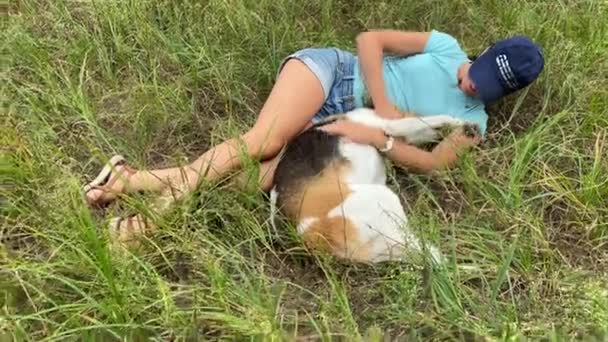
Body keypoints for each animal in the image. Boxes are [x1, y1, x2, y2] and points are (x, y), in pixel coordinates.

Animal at [270, 108, 476, 264]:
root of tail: (313, 234)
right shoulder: (387, 126)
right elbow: (425, 121)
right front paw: (456, 122)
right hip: (383, 199)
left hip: (379, 244)